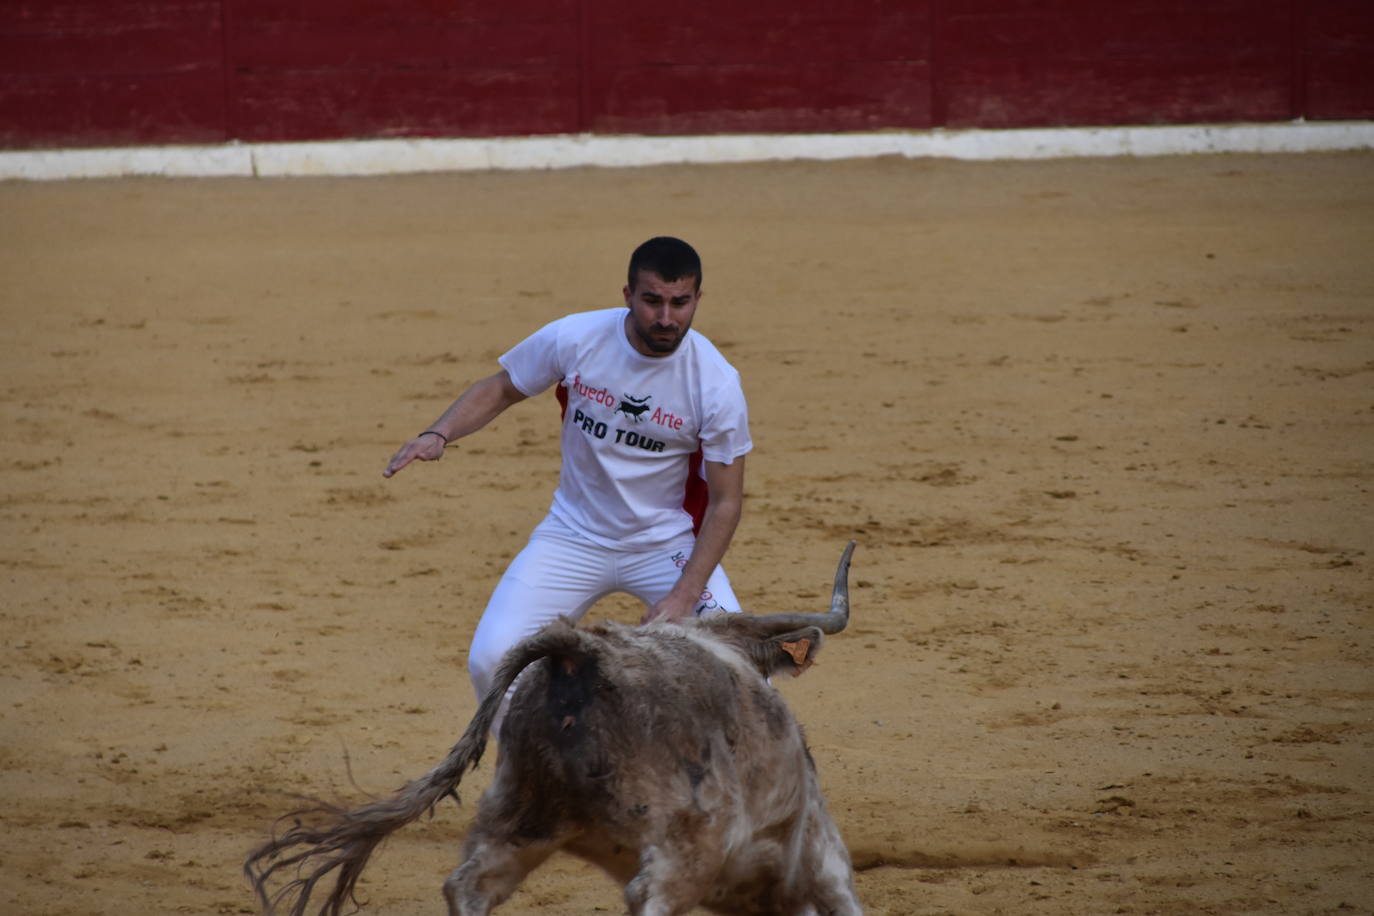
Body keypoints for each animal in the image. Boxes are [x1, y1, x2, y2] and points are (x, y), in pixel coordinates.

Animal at [247, 543, 857, 916]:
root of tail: (579, 649)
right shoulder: (819, 856)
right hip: (685, 848)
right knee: (650, 895)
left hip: (516, 821)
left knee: (466, 886)